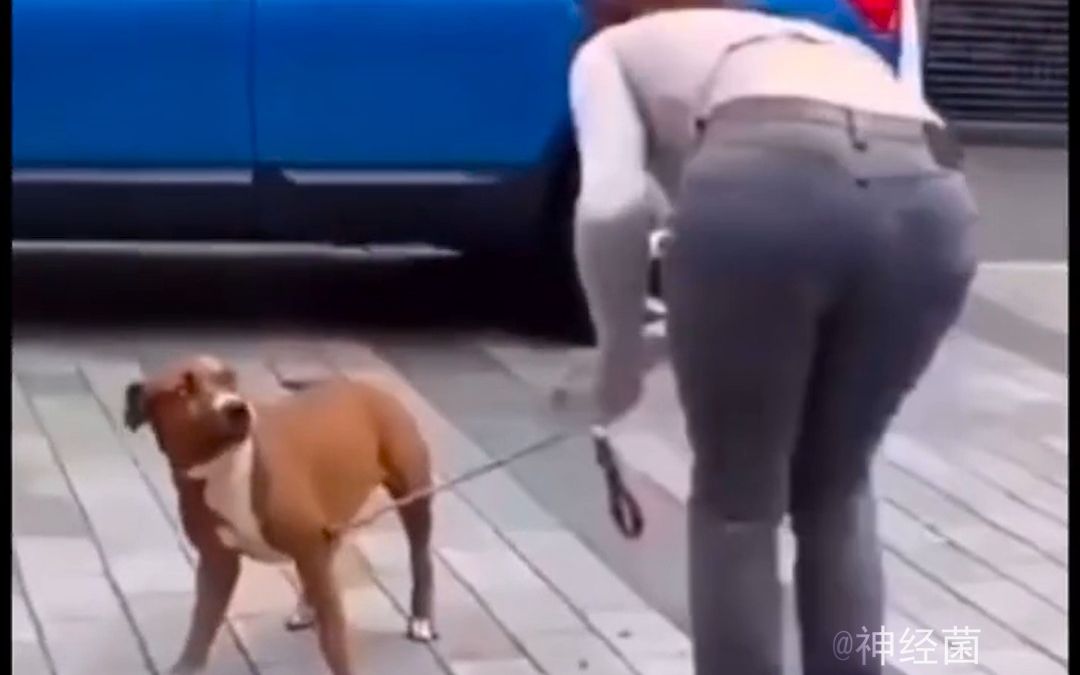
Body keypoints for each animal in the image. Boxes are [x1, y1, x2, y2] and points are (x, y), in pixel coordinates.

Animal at [123, 355, 436, 675]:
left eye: (229, 379)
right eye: (182, 390)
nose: (236, 406)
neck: (225, 468)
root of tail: (366, 386)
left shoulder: (308, 552)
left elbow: (334, 641)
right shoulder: (217, 563)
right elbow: (201, 627)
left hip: (413, 498)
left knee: (420, 557)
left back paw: (421, 619)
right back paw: (307, 608)